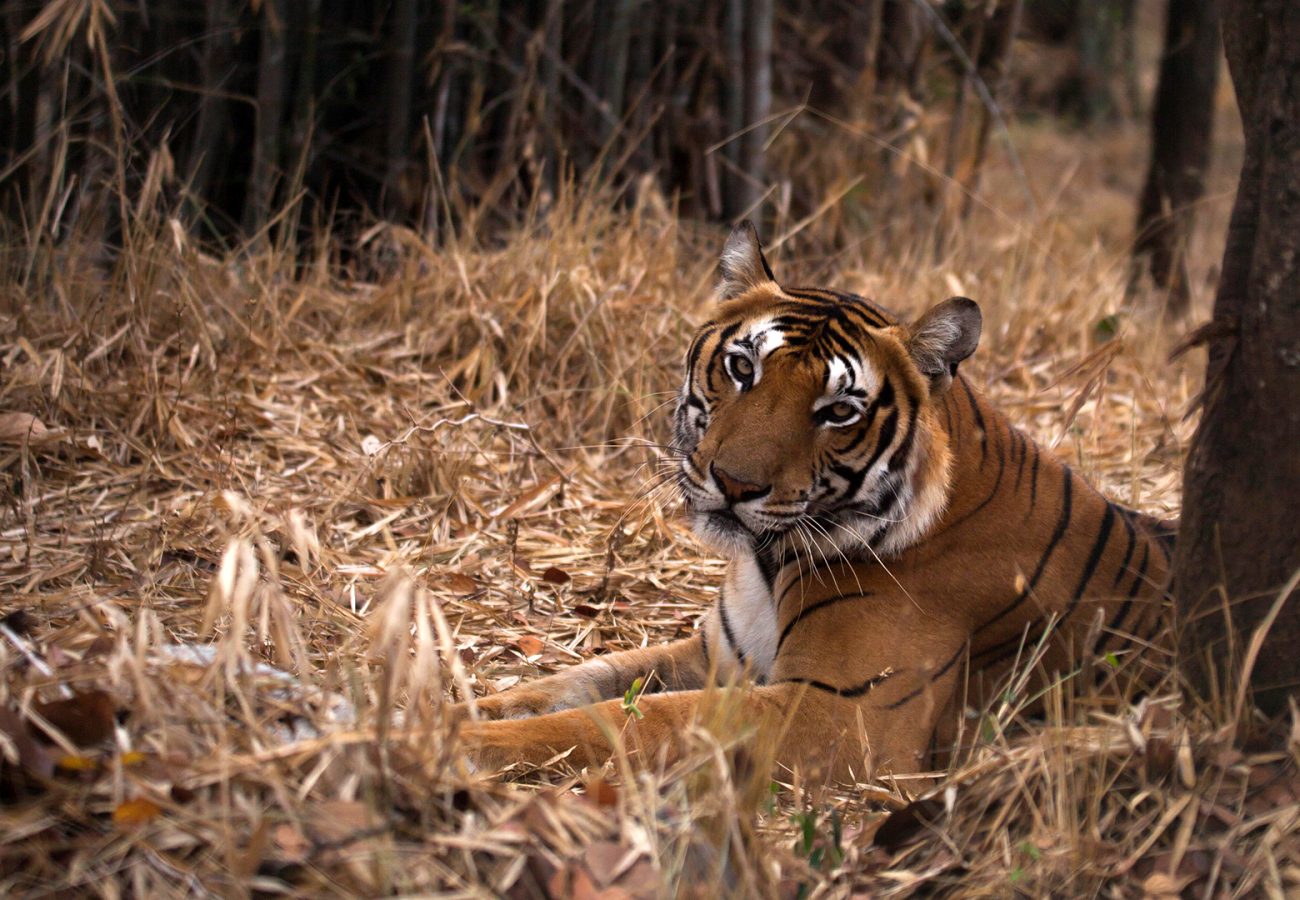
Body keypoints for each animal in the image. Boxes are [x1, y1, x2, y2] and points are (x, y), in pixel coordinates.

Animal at [460, 221, 1180, 775]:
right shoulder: (714, 656)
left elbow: (626, 722)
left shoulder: (835, 713)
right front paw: (460, 706)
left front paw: (466, 743)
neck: (764, 561)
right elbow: (583, 680)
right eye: (741, 368)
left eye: (837, 412)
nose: (735, 484)